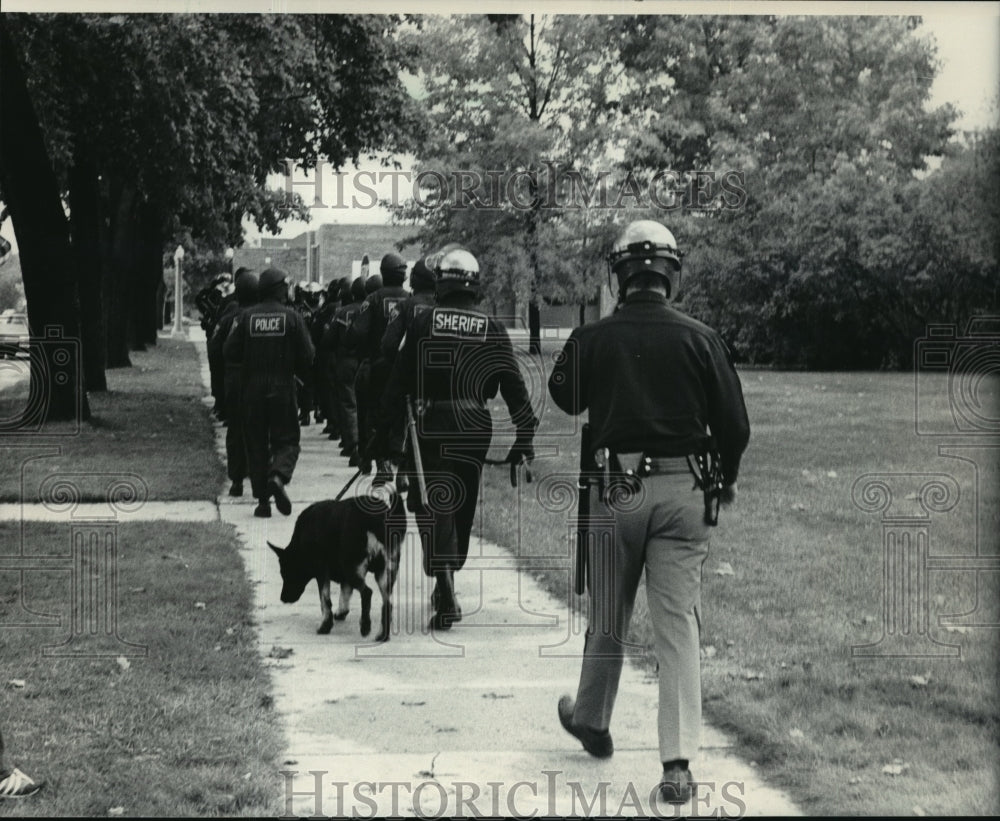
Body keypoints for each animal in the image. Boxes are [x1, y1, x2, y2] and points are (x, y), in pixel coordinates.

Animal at [270, 486, 406, 640]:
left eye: (286, 574)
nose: (282, 598)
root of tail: (373, 519)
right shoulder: (343, 576)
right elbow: (344, 594)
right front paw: (341, 612)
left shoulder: (322, 572)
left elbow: (325, 600)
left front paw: (325, 625)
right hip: (384, 572)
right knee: (387, 603)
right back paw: (383, 634)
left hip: (352, 568)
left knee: (367, 593)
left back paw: (365, 626)